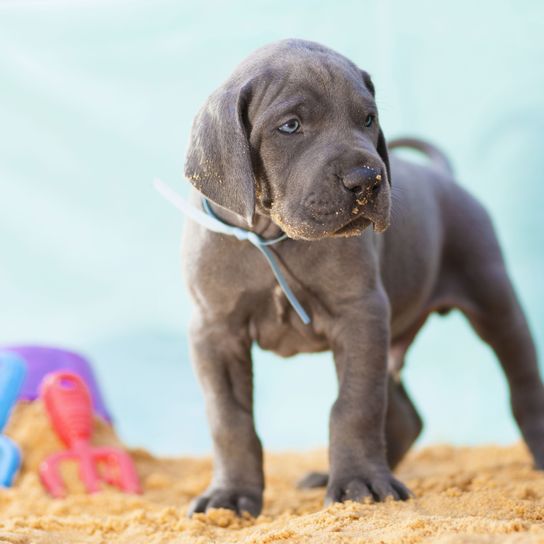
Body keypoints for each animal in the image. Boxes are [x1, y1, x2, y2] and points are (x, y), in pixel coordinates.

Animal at [181, 39, 544, 520]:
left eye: (367, 120)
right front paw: (230, 496)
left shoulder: (361, 315)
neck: (271, 235)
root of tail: (444, 177)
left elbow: (354, 406)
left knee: (524, 384)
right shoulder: (215, 330)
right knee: (408, 416)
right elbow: (230, 418)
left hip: (495, 302)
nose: (367, 180)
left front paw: (360, 484)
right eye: (290, 126)